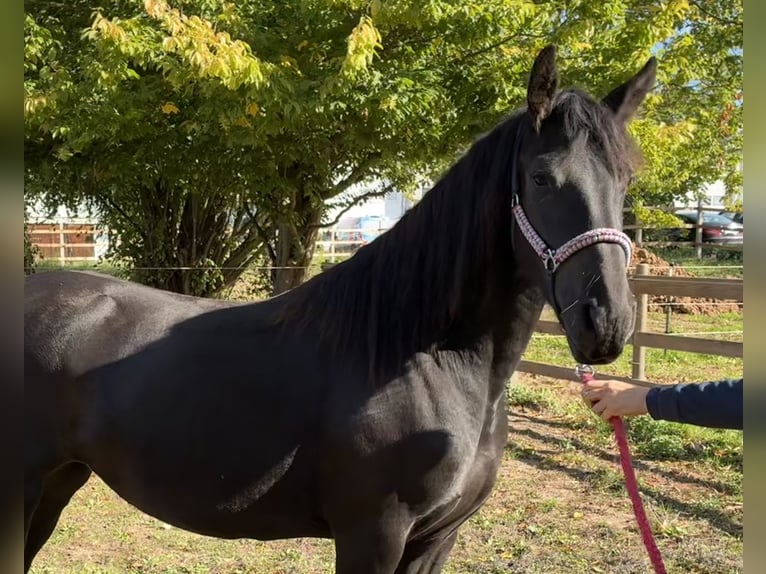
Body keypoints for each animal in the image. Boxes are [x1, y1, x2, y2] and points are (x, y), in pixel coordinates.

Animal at [24, 45, 656, 573]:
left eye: (626, 179)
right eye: (542, 179)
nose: (605, 322)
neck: (421, 356)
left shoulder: (436, 539)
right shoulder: (372, 534)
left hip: (57, 483)